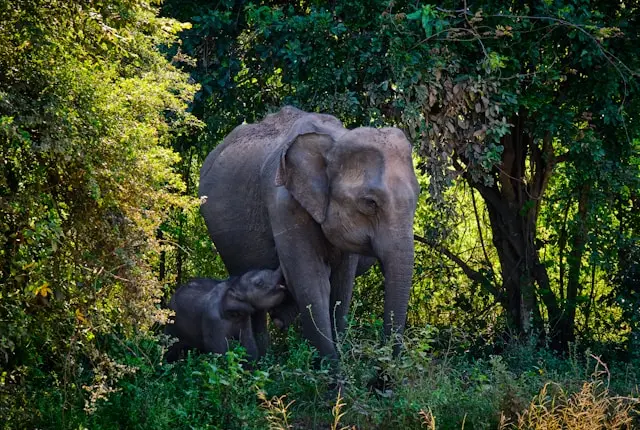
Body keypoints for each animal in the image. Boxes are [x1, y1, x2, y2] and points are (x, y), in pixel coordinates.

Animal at [200, 106, 420, 360]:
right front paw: (332, 367)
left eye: (417, 198)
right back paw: (261, 359)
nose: (386, 363)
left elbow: (341, 286)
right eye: (370, 202)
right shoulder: (284, 204)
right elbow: (312, 283)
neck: (334, 139)